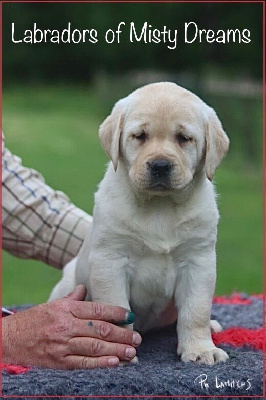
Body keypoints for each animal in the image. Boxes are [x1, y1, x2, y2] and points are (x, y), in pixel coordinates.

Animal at [50, 83, 229, 366]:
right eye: (140, 136)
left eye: (183, 138)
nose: (160, 165)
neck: (160, 206)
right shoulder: (110, 260)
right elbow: (116, 309)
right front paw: (118, 351)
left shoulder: (198, 261)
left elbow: (196, 311)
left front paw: (200, 349)